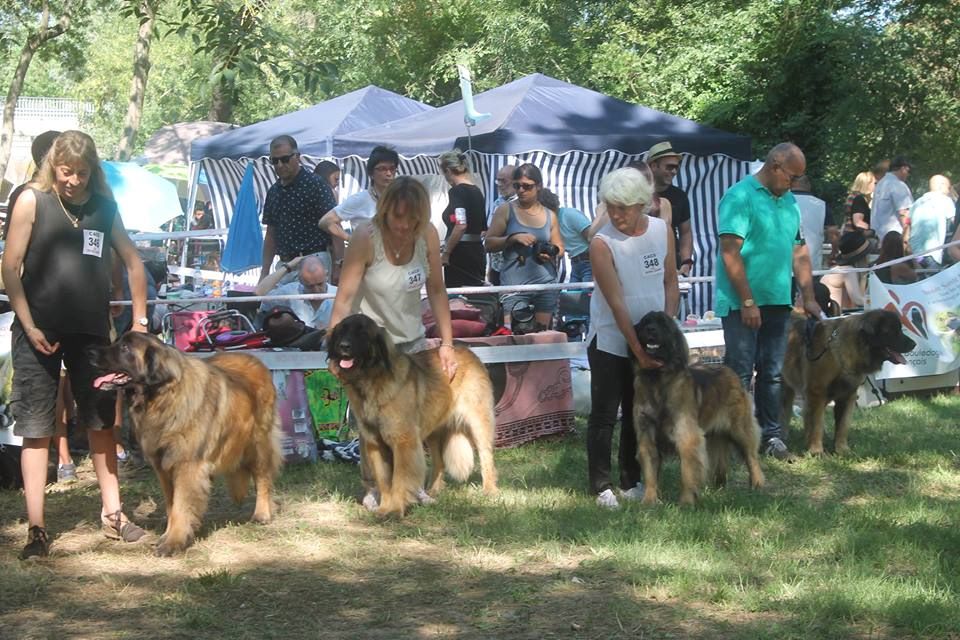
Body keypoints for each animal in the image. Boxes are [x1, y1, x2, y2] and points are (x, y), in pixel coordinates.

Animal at [93, 332, 282, 556]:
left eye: (125, 348)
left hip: (257, 443)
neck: (162, 398)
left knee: (263, 478)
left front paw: (173, 542)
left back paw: (262, 514)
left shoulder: (186, 466)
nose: (90, 352)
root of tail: (255, 359)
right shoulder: (163, 467)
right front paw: (169, 535)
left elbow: (181, 505)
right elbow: (171, 505)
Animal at [326, 312, 498, 516]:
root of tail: (469, 351)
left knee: (486, 455)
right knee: (439, 462)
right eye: (342, 330)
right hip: (433, 429)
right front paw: (384, 508)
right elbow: (384, 482)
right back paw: (433, 491)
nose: (343, 346)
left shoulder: (403, 441)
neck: (371, 380)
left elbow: (400, 479)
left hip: (477, 422)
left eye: (362, 333)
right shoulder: (375, 443)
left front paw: (395, 509)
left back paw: (490, 490)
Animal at [632, 312, 764, 504]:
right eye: (645, 322)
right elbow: (650, 470)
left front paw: (686, 501)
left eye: (663, 324)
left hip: (740, 429)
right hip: (717, 434)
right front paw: (650, 500)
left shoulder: (686, 434)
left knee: (752, 457)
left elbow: (687, 471)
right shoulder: (646, 433)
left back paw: (758, 485)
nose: (651, 330)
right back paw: (720, 487)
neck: (657, 378)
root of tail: (730, 371)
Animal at [780, 308, 916, 456]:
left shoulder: (847, 395)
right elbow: (817, 423)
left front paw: (841, 449)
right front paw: (816, 450)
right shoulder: (817, 392)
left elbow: (842, 425)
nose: (914, 344)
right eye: (892, 331)